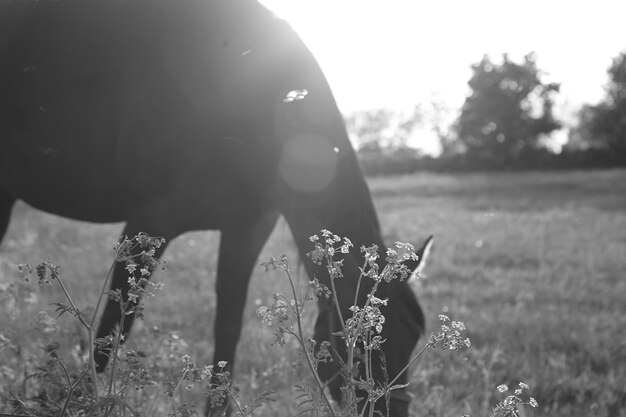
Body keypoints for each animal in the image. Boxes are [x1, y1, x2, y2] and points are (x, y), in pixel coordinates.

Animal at [0, 1, 424, 414]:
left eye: (413, 342)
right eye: (362, 345)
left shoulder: (246, 230)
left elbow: (227, 331)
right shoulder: (148, 224)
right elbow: (112, 329)